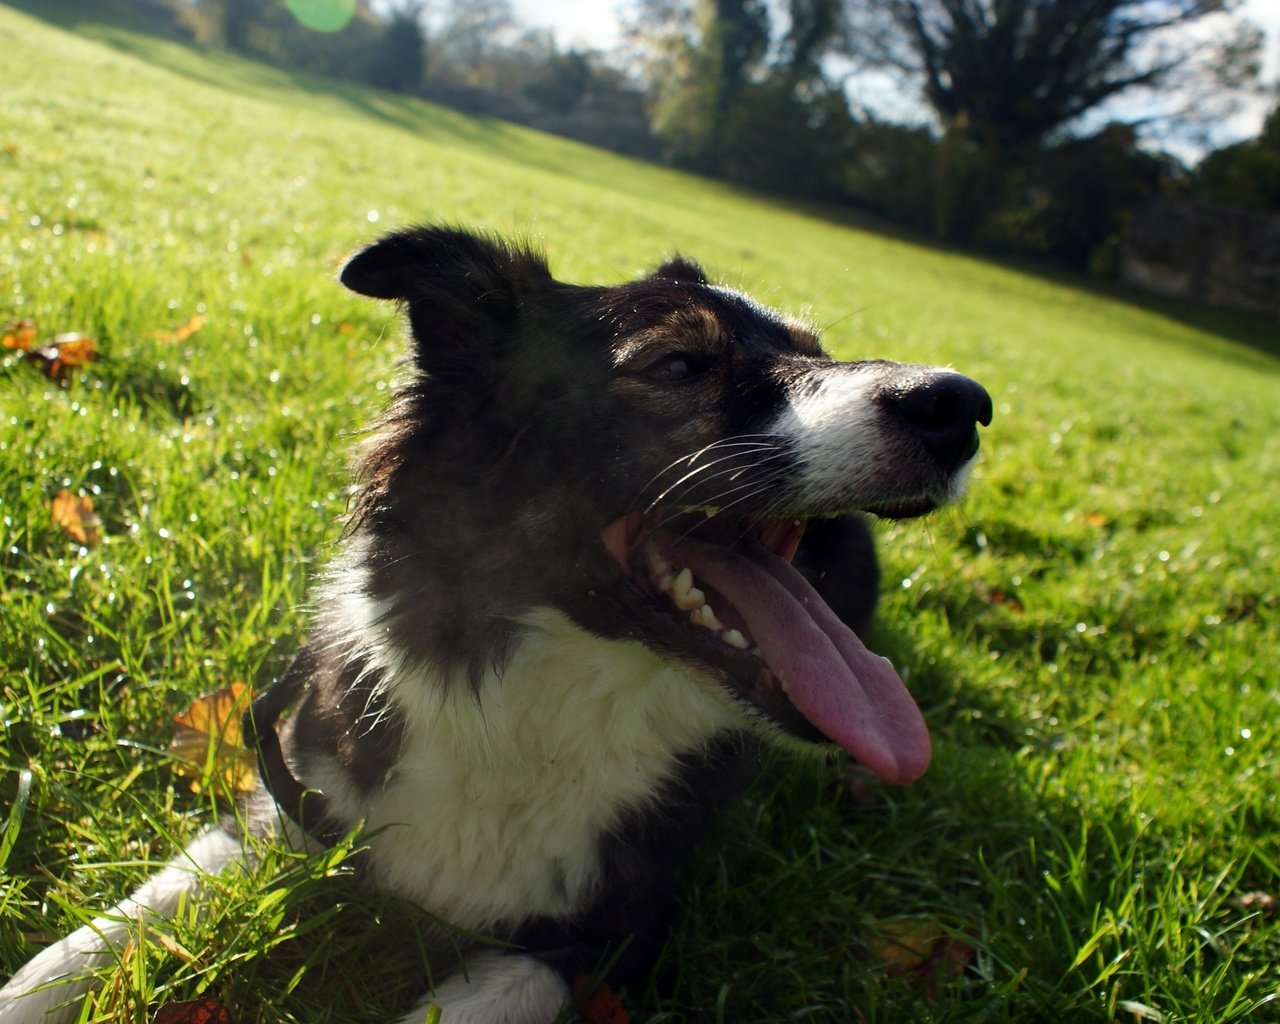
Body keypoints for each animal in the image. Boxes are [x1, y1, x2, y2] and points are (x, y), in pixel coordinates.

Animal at [0, 227, 988, 1024]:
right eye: (676, 366)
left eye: (819, 350)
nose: (962, 405)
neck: (537, 697)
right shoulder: (295, 795)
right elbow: (115, 928)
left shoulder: (614, 935)